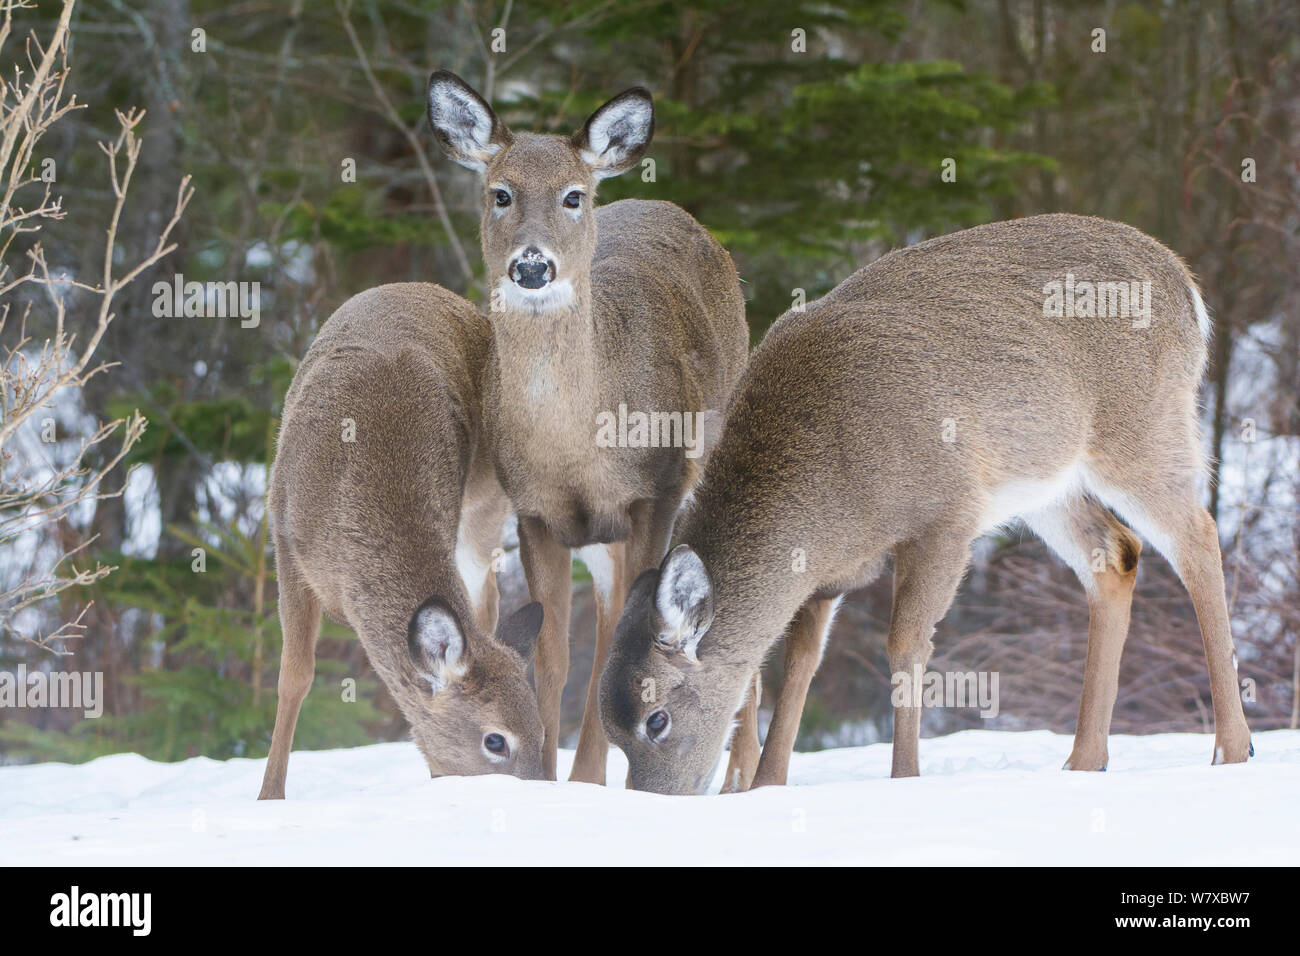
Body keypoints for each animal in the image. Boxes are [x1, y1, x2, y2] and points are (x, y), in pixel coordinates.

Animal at [258, 282, 545, 799]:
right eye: (495, 741)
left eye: (542, 732)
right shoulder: (284, 541)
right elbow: (294, 678)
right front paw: (268, 797)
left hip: (487, 498)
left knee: (487, 599)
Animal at [426, 71, 753, 785]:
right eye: (501, 192)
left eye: (574, 196)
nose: (532, 265)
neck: (577, 446)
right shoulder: (536, 513)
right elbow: (552, 657)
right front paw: (556, 779)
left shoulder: (655, 493)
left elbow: (618, 646)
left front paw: (586, 781)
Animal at [600, 213, 1254, 795]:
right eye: (610, 730)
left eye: (656, 720)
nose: (654, 800)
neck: (828, 488)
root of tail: (1186, 284)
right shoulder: (826, 569)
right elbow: (801, 661)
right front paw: (767, 786)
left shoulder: (947, 513)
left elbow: (906, 645)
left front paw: (904, 779)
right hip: (1048, 483)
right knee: (1116, 553)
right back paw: (1085, 760)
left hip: (1141, 428)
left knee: (1198, 536)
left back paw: (1231, 747)